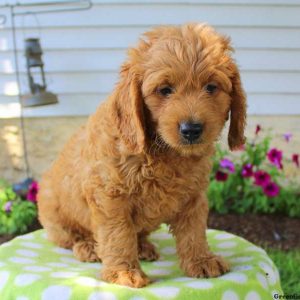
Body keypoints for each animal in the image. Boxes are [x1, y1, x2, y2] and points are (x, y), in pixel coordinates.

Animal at [38, 22, 246, 286]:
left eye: (211, 87)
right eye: (165, 90)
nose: (191, 129)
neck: (164, 152)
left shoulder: (194, 195)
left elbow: (194, 230)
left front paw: (201, 260)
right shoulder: (109, 195)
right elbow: (118, 234)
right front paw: (124, 273)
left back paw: (143, 247)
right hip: (55, 212)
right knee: (70, 236)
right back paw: (88, 247)